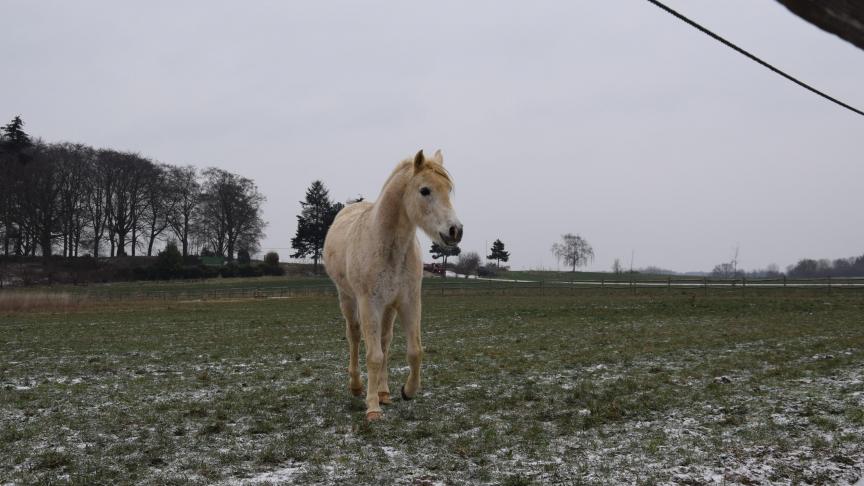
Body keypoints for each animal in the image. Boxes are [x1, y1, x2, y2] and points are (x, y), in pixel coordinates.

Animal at [323, 150, 463, 421]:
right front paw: (372, 408)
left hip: (389, 307)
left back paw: (384, 392)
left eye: (449, 189)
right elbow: (373, 356)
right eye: (425, 190)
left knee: (385, 342)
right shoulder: (370, 303)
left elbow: (414, 351)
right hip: (348, 299)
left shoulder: (409, 302)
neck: (389, 247)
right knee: (355, 337)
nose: (455, 231)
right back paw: (357, 387)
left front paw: (406, 391)